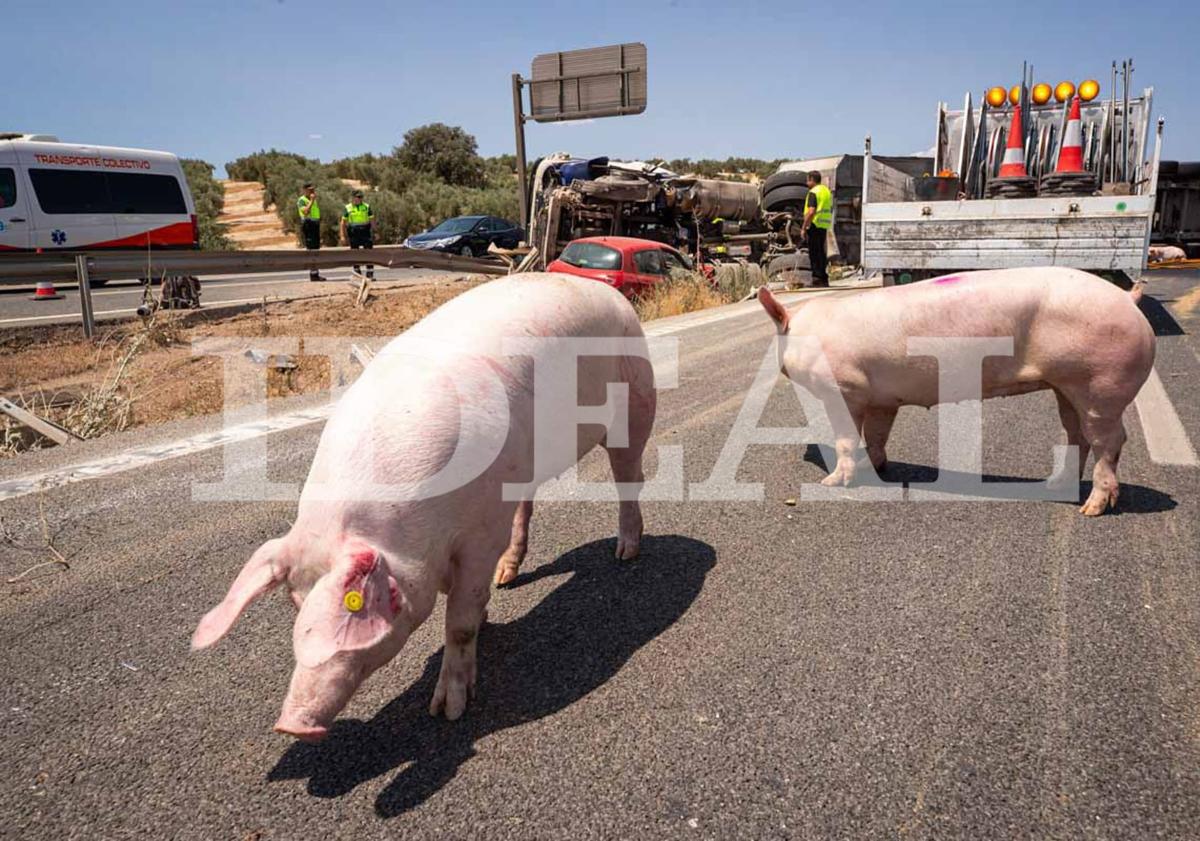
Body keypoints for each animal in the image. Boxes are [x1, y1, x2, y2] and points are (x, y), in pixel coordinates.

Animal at [753, 265, 1156, 515]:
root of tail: (1128, 300)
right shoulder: (883, 398)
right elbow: (878, 435)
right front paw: (876, 466)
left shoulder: (845, 387)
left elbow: (846, 439)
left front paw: (830, 481)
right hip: (1067, 386)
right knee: (1077, 434)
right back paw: (1054, 486)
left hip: (1101, 383)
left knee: (1110, 440)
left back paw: (1091, 509)